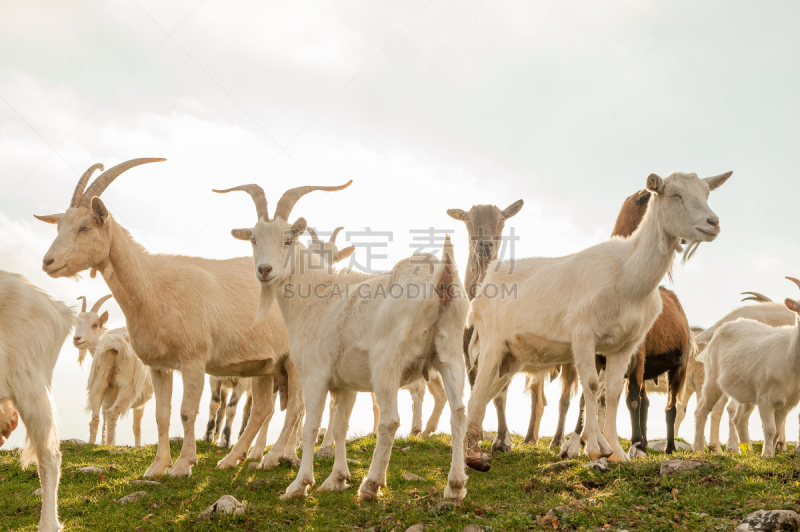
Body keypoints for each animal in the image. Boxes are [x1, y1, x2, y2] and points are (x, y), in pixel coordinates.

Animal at [35, 159, 304, 478]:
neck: (154, 285)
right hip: (265, 366)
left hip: (295, 359)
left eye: (85, 226)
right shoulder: (159, 366)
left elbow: (187, 412)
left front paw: (183, 465)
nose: (48, 262)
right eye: (59, 226)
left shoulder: (193, 360)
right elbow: (162, 415)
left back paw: (274, 456)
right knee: (263, 409)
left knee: (297, 407)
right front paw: (157, 467)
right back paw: (231, 459)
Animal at [216, 181, 472, 500]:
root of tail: (442, 276)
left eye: (288, 240)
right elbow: (339, 426)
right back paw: (456, 485)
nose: (264, 270)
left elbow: (310, 425)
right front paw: (336, 479)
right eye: (252, 239)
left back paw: (371, 484)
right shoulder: (346, 383)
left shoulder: (315, 374)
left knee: (390, 420)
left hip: (387, 362)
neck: (316, 296)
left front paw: (299, 484)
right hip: (450, 354)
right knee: (459, 413)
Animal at [462, 171, 732, 470]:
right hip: (492, 345)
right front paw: (594, 446)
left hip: (512, 357)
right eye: (675, 194)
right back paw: (470, 457)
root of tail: (483, 288)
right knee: (478, 394)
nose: (713, 223)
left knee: (485, 396)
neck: (627, 275)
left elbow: (614, 392)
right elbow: (591, 386)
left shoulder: (626, 345)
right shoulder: (583, 336)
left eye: (706, 193)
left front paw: (617, 451)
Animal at [692, 274, 800, 458]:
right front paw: (767, 455)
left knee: (738, 417)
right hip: (713, 379)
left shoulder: (787, 402)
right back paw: (700, 449)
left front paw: (771, 453)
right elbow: (770, 429)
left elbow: (777, 429)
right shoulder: (765, 397)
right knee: (704, 410)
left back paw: (745, 450)